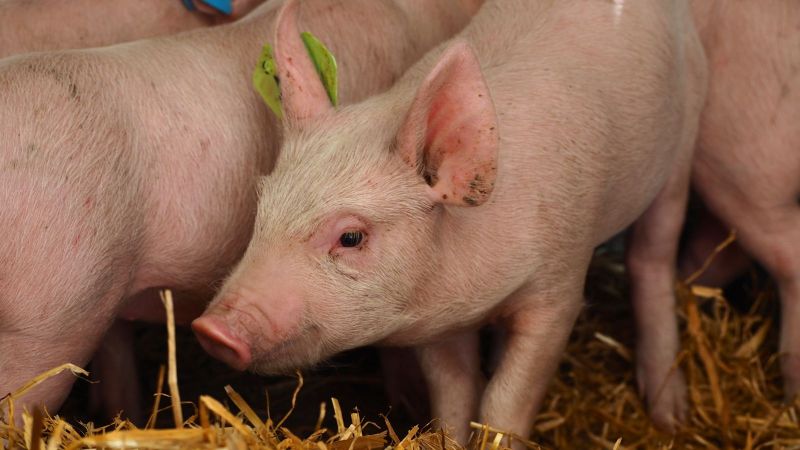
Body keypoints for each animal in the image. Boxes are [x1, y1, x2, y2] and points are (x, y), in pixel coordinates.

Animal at [193, 0, 708, 442]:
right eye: (262, 205)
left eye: (351, 236)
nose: (210, 330)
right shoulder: (435, 324)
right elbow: (454, 400)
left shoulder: (558, 286)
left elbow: (504, 404)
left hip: (682, 144)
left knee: (651, 259)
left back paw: (671, 418)